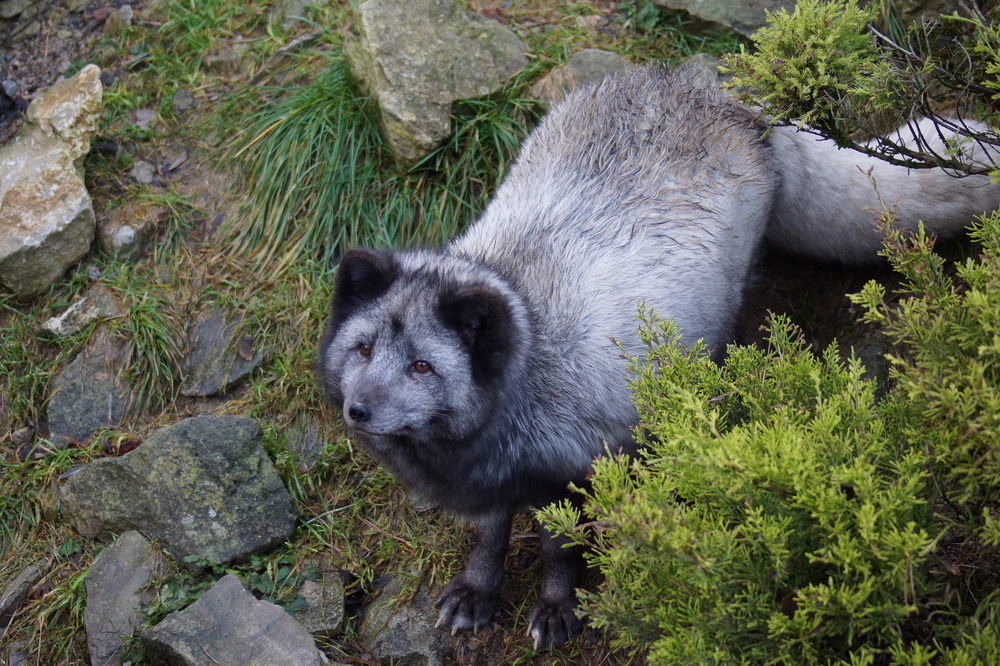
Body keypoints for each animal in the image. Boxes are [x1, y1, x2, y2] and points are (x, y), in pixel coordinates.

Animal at [318, 65, 1000, 644]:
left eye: (422, 365)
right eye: (363, 349)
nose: (358, 411)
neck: (531, 358)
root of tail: (715, 87)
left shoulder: (578, 468)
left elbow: (559, 549)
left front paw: (557, 609)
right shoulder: (491, 483)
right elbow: (489, 536)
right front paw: (477, 592)